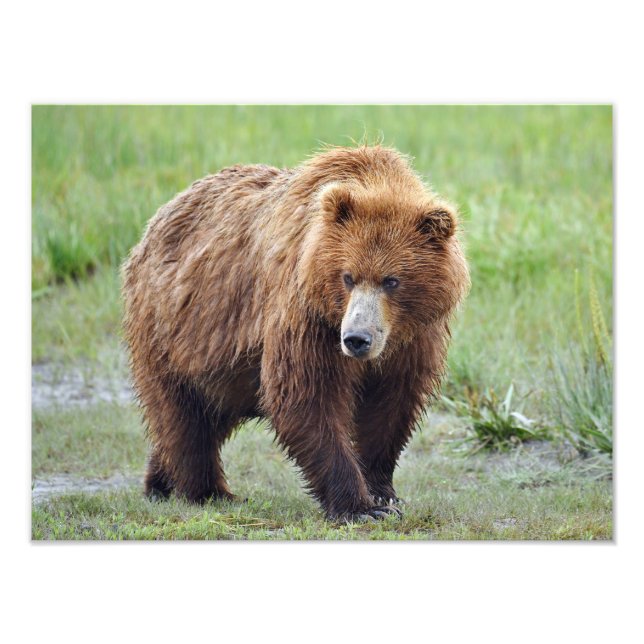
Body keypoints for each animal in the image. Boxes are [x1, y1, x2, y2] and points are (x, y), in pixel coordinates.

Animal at [122, 145, 469, 522]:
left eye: (391, 281)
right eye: (348, 277)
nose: (356, 339)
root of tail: (154, 223)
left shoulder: (413, 336)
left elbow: (392, 405)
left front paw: (383, 493)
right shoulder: (307, 315)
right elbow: (305, 396)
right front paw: (359, 506)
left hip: (224, 365)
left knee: (205, 413)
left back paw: (159, 481)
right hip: (174, 329)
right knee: (183, 416)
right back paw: (208, 491)